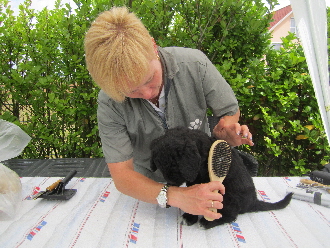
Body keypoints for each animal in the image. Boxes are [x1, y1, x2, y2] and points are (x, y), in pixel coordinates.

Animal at [151, 127, 292, 230]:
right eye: (159, 165)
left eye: (175, 165)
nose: (170, 183)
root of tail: (253, 201)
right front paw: (189, 216)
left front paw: (191, 217)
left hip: (229, 197)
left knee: (230, 215)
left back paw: (208, 222)